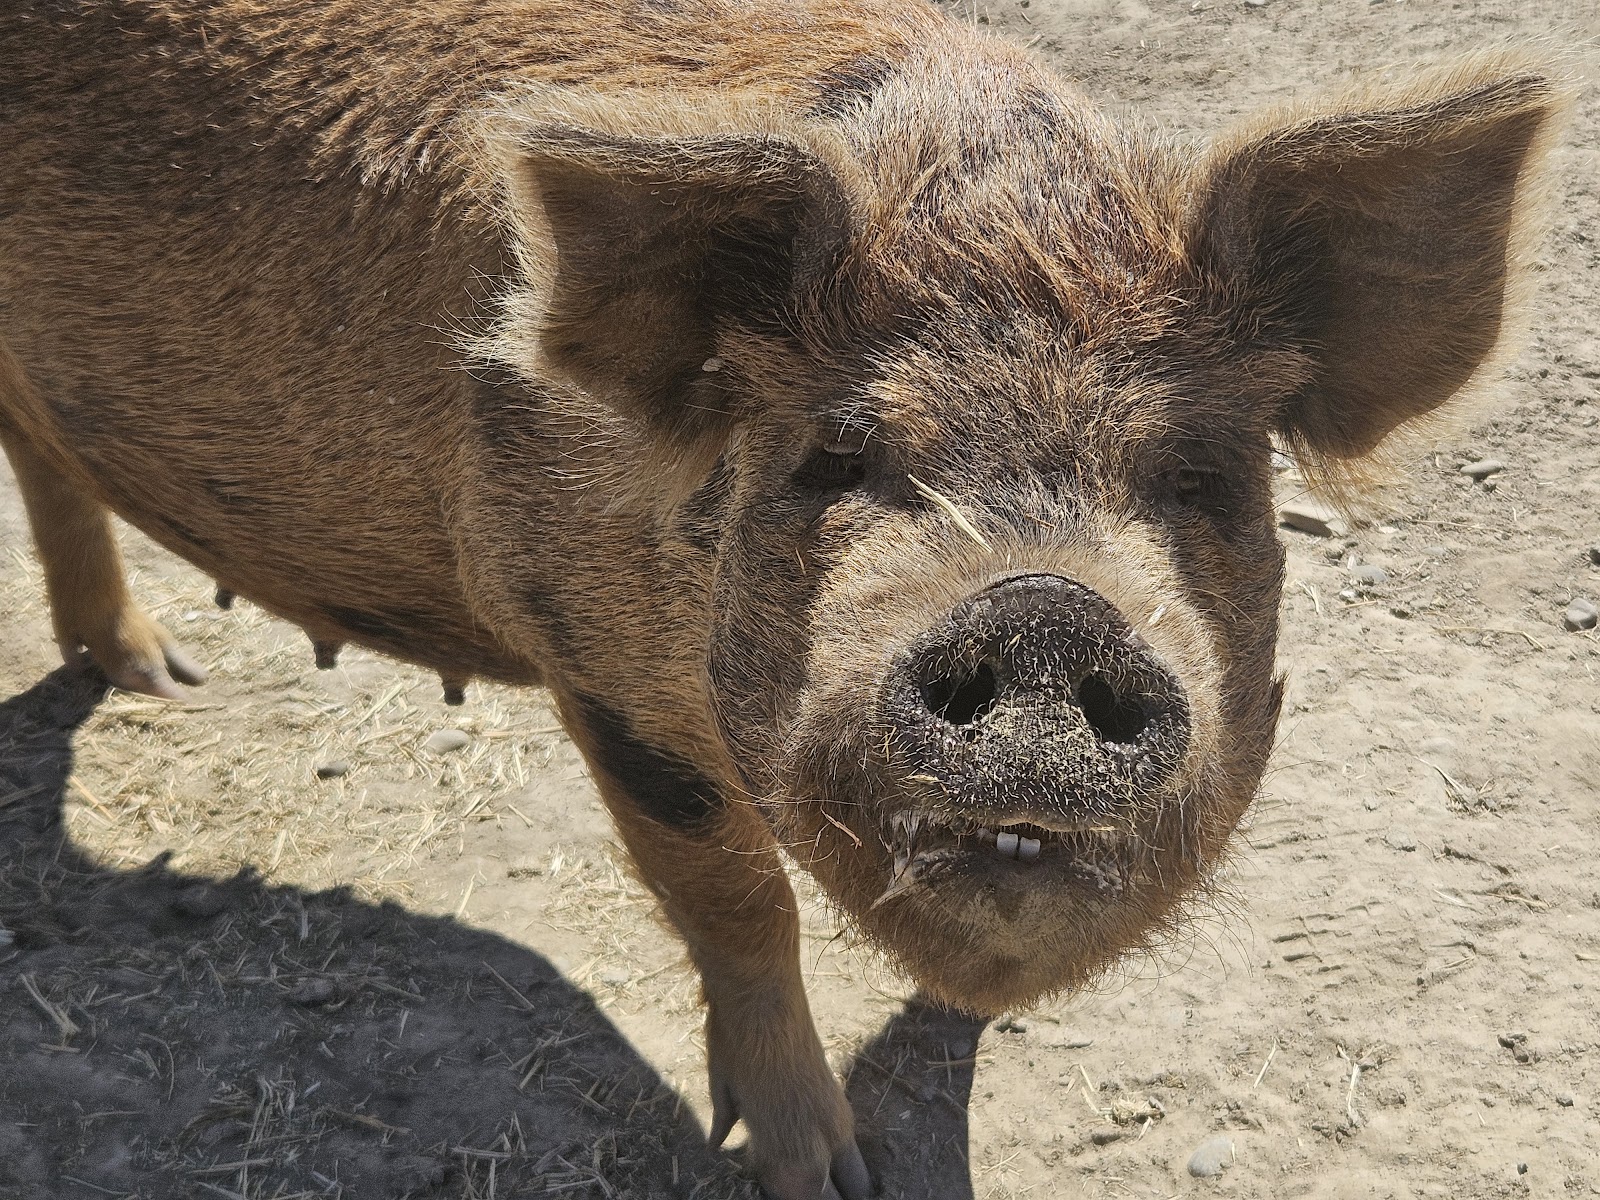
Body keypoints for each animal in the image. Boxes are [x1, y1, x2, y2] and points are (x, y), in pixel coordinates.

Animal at [0, 1, 1564, 1195]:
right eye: (839, 455)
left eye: (1199, 475)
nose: (1044, 608)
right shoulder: (593, 664)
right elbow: (740, 898)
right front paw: (829, 1171)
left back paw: (156, 676)